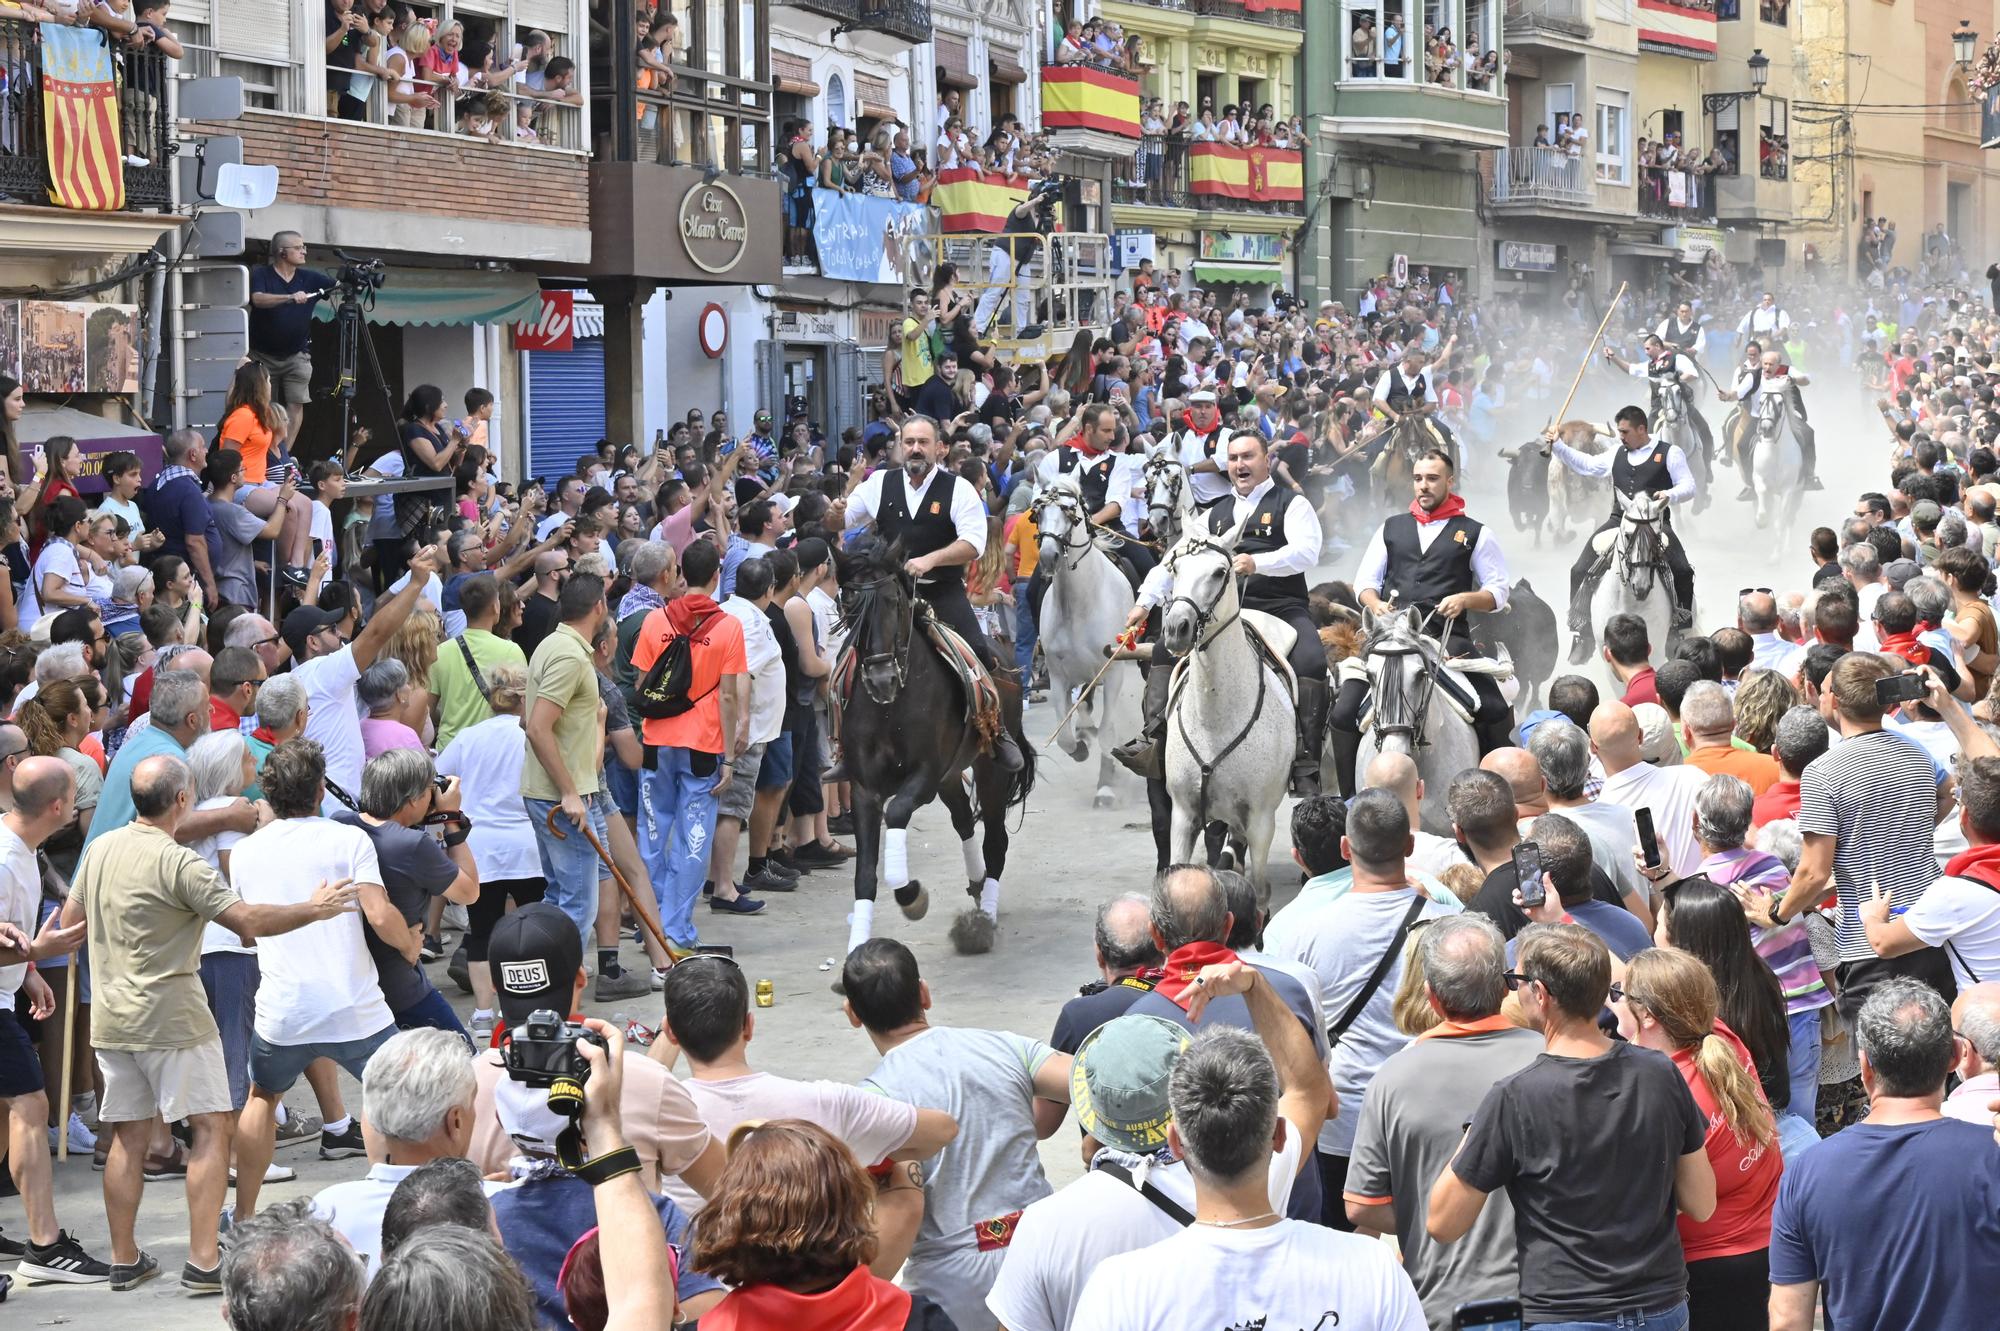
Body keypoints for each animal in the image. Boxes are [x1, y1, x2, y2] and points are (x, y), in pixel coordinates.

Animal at [836, 535, 1040, 955]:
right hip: (950, 777)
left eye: (893, 601)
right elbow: (864, 875)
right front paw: (858, 947)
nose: (880, 678)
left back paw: (984, 919)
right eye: (847, 603)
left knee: (995, 841)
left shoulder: (925, 775)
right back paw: (976, 883)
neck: (889, 707)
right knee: (963, 821)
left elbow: (897, 812)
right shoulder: (864, 788)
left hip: (989, 770)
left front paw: (911, 895)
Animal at [1032, 477, 1144, 807]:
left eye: (1071, 512)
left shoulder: (1114, 673)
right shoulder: (1059, 678)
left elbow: (1107, 730)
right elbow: (1066, 736)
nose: (1048, 557)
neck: (1078, 605)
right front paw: (1080, 748)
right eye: (1037, 511)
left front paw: (1105, 787)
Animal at [1160, 515, 1296, 891]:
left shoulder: (1261, 820)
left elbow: (1261, 890)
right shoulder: (1183, 815)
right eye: (1174, 566)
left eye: (1220, 572)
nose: (1176, 628)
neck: (1215, 721)